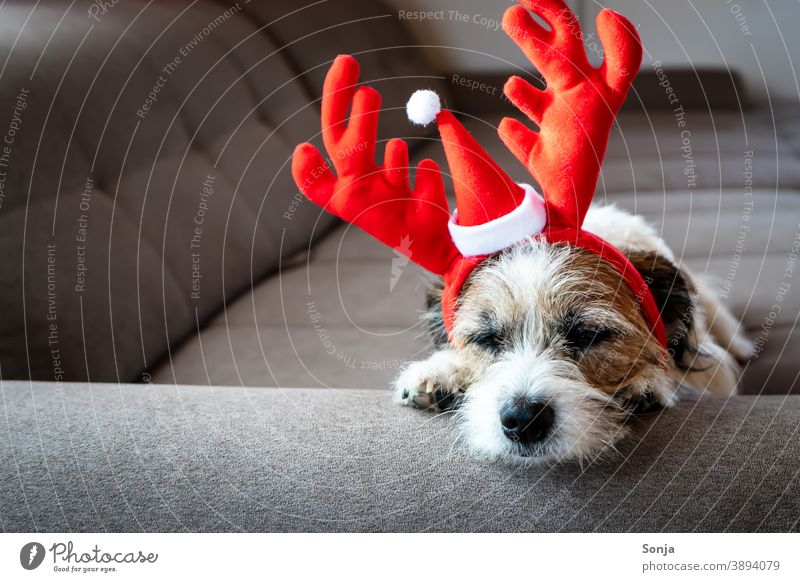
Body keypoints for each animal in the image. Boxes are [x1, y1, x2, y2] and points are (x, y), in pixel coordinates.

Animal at [390, 205, 752, 466]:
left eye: (588, 335)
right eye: (486, 339)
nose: (523, 420)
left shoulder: (715, 372)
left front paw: (646, 384)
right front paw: (441, 371)